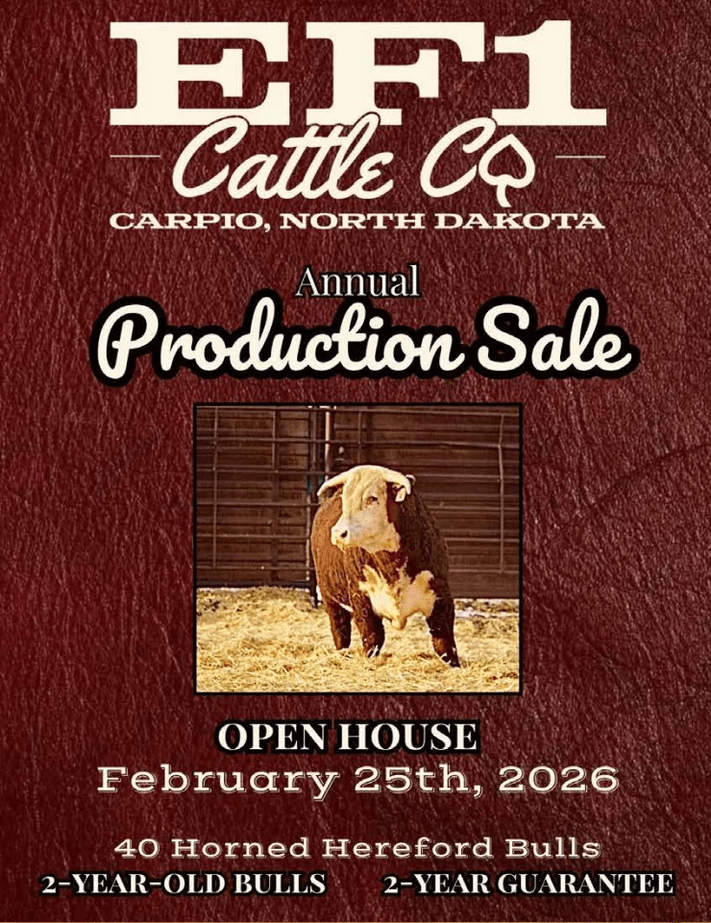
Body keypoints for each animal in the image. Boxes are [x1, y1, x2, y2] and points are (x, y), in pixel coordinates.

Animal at [310, 464, 460, 667]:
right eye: (345, 497)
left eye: (372, 498)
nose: (339, 532)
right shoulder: (360, 598)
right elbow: (373, 638)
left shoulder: (440, 595)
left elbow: (444, 643)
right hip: (330, 598)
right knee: (340, 631)